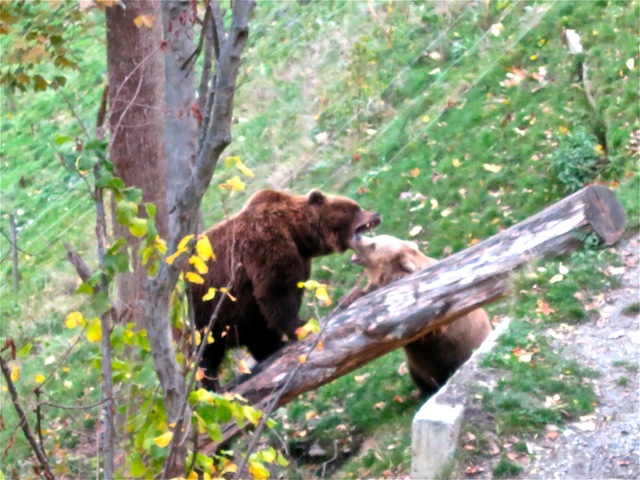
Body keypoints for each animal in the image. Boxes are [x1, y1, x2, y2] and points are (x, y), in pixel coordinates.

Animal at [190, 189, 380, 388]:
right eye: (355, 208)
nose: (376, 214)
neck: (296, 232)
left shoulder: (298, 259)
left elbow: (282, 299)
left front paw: (280, 339)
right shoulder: (265, 244)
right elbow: (276, 292)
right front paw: (301, 325)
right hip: (205, 308)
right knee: (207, 349)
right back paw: (211, 383)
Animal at [342, 234, 492, 396]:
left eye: (373, 245)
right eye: (375, 237)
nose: (357, 236)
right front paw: (348, 298)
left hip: (462, 351)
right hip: (415, 366)